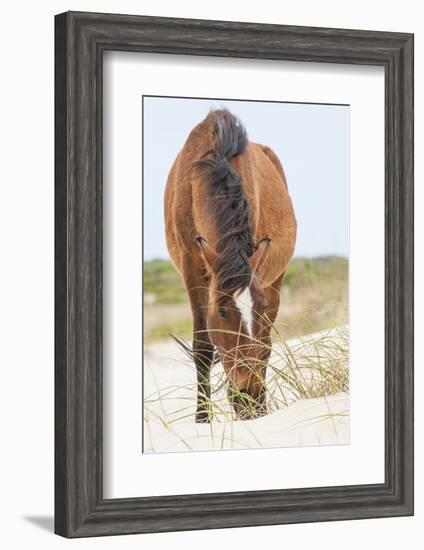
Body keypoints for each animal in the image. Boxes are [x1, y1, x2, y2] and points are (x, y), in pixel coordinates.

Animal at [164, 110, 296, 424]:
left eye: (258, 308)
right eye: (222, 313)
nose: (248, 394)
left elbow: (261, 346)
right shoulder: (192, 267)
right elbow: (202, 347)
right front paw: (202, 419)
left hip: (276, 280)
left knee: (266, 344)